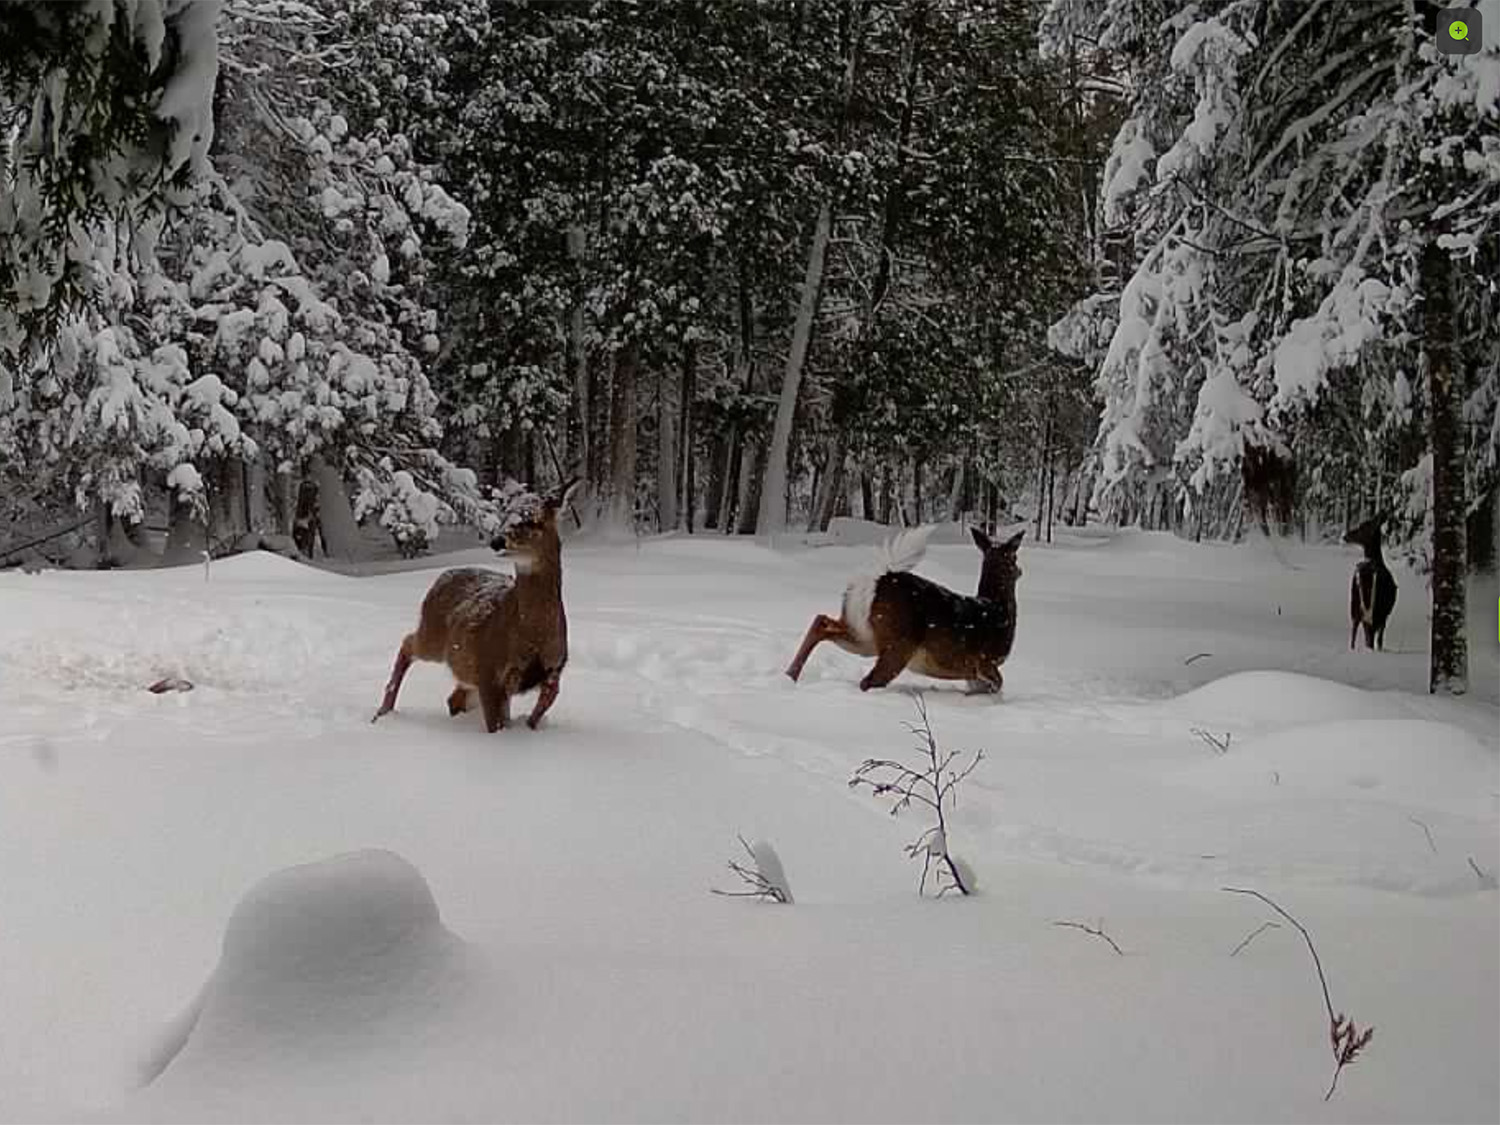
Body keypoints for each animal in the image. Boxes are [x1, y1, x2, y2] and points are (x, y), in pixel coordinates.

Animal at [371, 478, 581, 733]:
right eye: (504, 515)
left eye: (532, 520)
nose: (497, 541)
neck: (533, 635)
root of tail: (442, 577)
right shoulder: (488, 669)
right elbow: (496, 724)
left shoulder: (553, 671)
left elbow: (533, 717)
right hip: (434, 637)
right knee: (408, 644)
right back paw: (382, 712)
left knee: (453, 698)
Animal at [785, 524, 1025, 694]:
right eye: (1014, 557)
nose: (1020, 570)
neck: (997, 607)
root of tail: (880, 578)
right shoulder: (984, 661)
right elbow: (998, 684)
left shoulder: (974, 673)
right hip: (899, 643)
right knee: (868, 681)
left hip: (864, 634)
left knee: (821, 621)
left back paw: (789, 676)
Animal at [1343, 512, 1397, 651]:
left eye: (1362, 526)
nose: (1345, 536)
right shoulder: (1384, 615)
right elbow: (1380, 639)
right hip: (1376, 608)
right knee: (1370, 635)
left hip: (1356, 603)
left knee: (1355, 630)